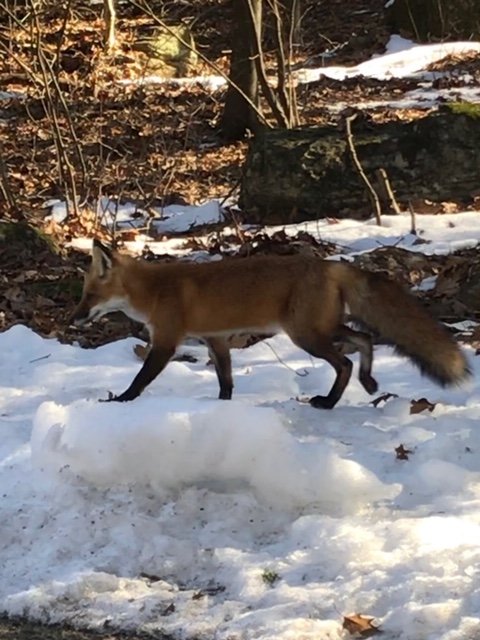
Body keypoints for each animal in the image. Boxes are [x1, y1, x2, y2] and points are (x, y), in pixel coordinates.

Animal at [70, 239, 471, 408]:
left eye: (89, 296)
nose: (73, 319)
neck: (152, 292)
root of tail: (330, 264)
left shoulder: (166, 342)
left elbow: (140, 380)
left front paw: (121, 401)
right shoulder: (217, 341)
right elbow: (226, 382)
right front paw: (223, 409)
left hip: (305, 336)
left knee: (345, 361)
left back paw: (329, 402)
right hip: (320, 330)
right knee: (364, 339)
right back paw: (368, 382)